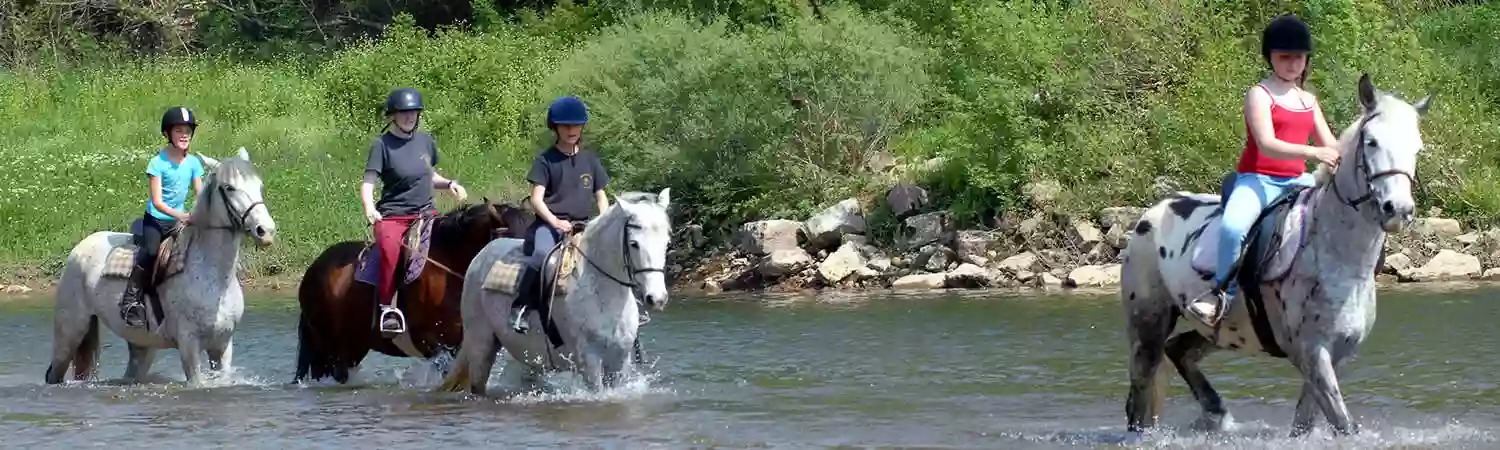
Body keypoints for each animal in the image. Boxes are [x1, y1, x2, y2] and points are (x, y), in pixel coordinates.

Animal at [48, 147, 277, 387]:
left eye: (259, 185)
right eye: (229, 187)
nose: (266, 231)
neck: (214, 279)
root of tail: (80, 247)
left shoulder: (223, 345)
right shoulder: (189, 344)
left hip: (140, 344)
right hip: (70, 331)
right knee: (54, 373)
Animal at [435, 188, 669, 396]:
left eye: (667, 243)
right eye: (634, 243)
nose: (657, 298)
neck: (601, 291)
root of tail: (481, 256)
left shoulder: (619, 360)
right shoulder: (590, 360)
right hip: (481, 343)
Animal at [1128, 73, 1428, 435]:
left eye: (1417, 148)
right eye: (1371, 142)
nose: (1398, 209)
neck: (1335, 254)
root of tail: (1154, 211)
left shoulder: (1335, 354)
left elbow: (1306, 423)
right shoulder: (1311, 352)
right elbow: (1344, 424)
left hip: (1218, 331)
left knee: (1179, 350)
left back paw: (1217, 412)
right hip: (1148, 326)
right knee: (1140, 396)